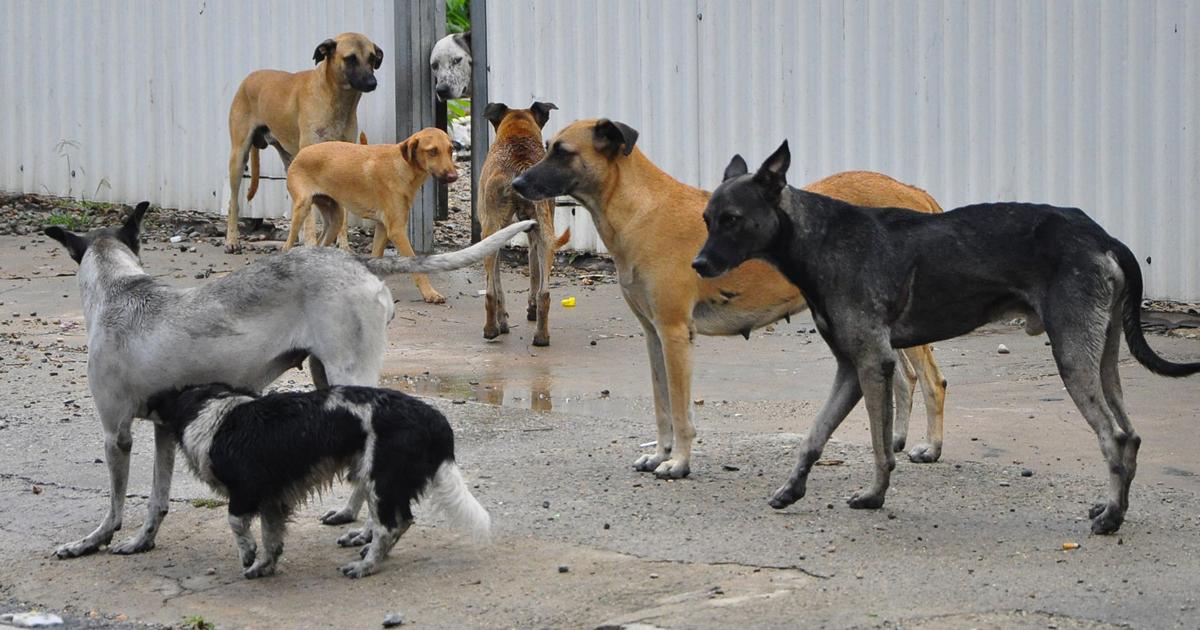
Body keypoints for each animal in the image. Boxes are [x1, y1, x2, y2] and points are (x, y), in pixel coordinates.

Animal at [43, 201, 530, 554]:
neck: (118, 290)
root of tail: (358, 261)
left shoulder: (116, 435)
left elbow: (115, 503)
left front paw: (93, 541)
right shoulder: (165, 431)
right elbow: (156, 499)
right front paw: (143, 541)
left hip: (349, 374)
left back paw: (366, 530)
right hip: (324, 376)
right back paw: (354, 518)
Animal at [145, 381, 487, 578]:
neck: (212, 414)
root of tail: (435, 419)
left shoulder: (246, 490)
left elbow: (237, 523)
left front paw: (248, 555)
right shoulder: (272, 500)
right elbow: (272, 537)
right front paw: (264, 565)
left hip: (379, 478)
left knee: (389, 526)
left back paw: (364, 567)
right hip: (381, 480)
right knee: (402, 521)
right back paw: (370, 551)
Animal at [225, 32, 384, 253]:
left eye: (372, 58)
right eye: (350, 58)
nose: (372, 83)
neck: (336, 99)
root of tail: (250, 77)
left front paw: (343, 245)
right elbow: (312, 217)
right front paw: (311, 243)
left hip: (290, 162)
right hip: (239, 157)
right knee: (233, 202)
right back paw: (232, 240)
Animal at [283, 126, 460, 303]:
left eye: (451, 150)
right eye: (433, 151)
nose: (453, 177)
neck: (403, 166)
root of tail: (300, 153)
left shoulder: (382, 228)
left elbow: (376, 257)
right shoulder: (396, 231)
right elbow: (416, 269)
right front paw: (430, 293)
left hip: (336, 219)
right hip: (303, 207)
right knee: (286, 247)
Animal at [511, 120, 950, 480]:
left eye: (563, 152)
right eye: (547, 145)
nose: (517, 184)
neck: (640, 208)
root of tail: (913, 192)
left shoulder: (674, 334)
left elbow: (680, 409)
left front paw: (678, 463)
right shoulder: (653, 335)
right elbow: (661, 405)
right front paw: (660, 454)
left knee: (933, 381)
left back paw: (931, 447)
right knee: (906, 379)